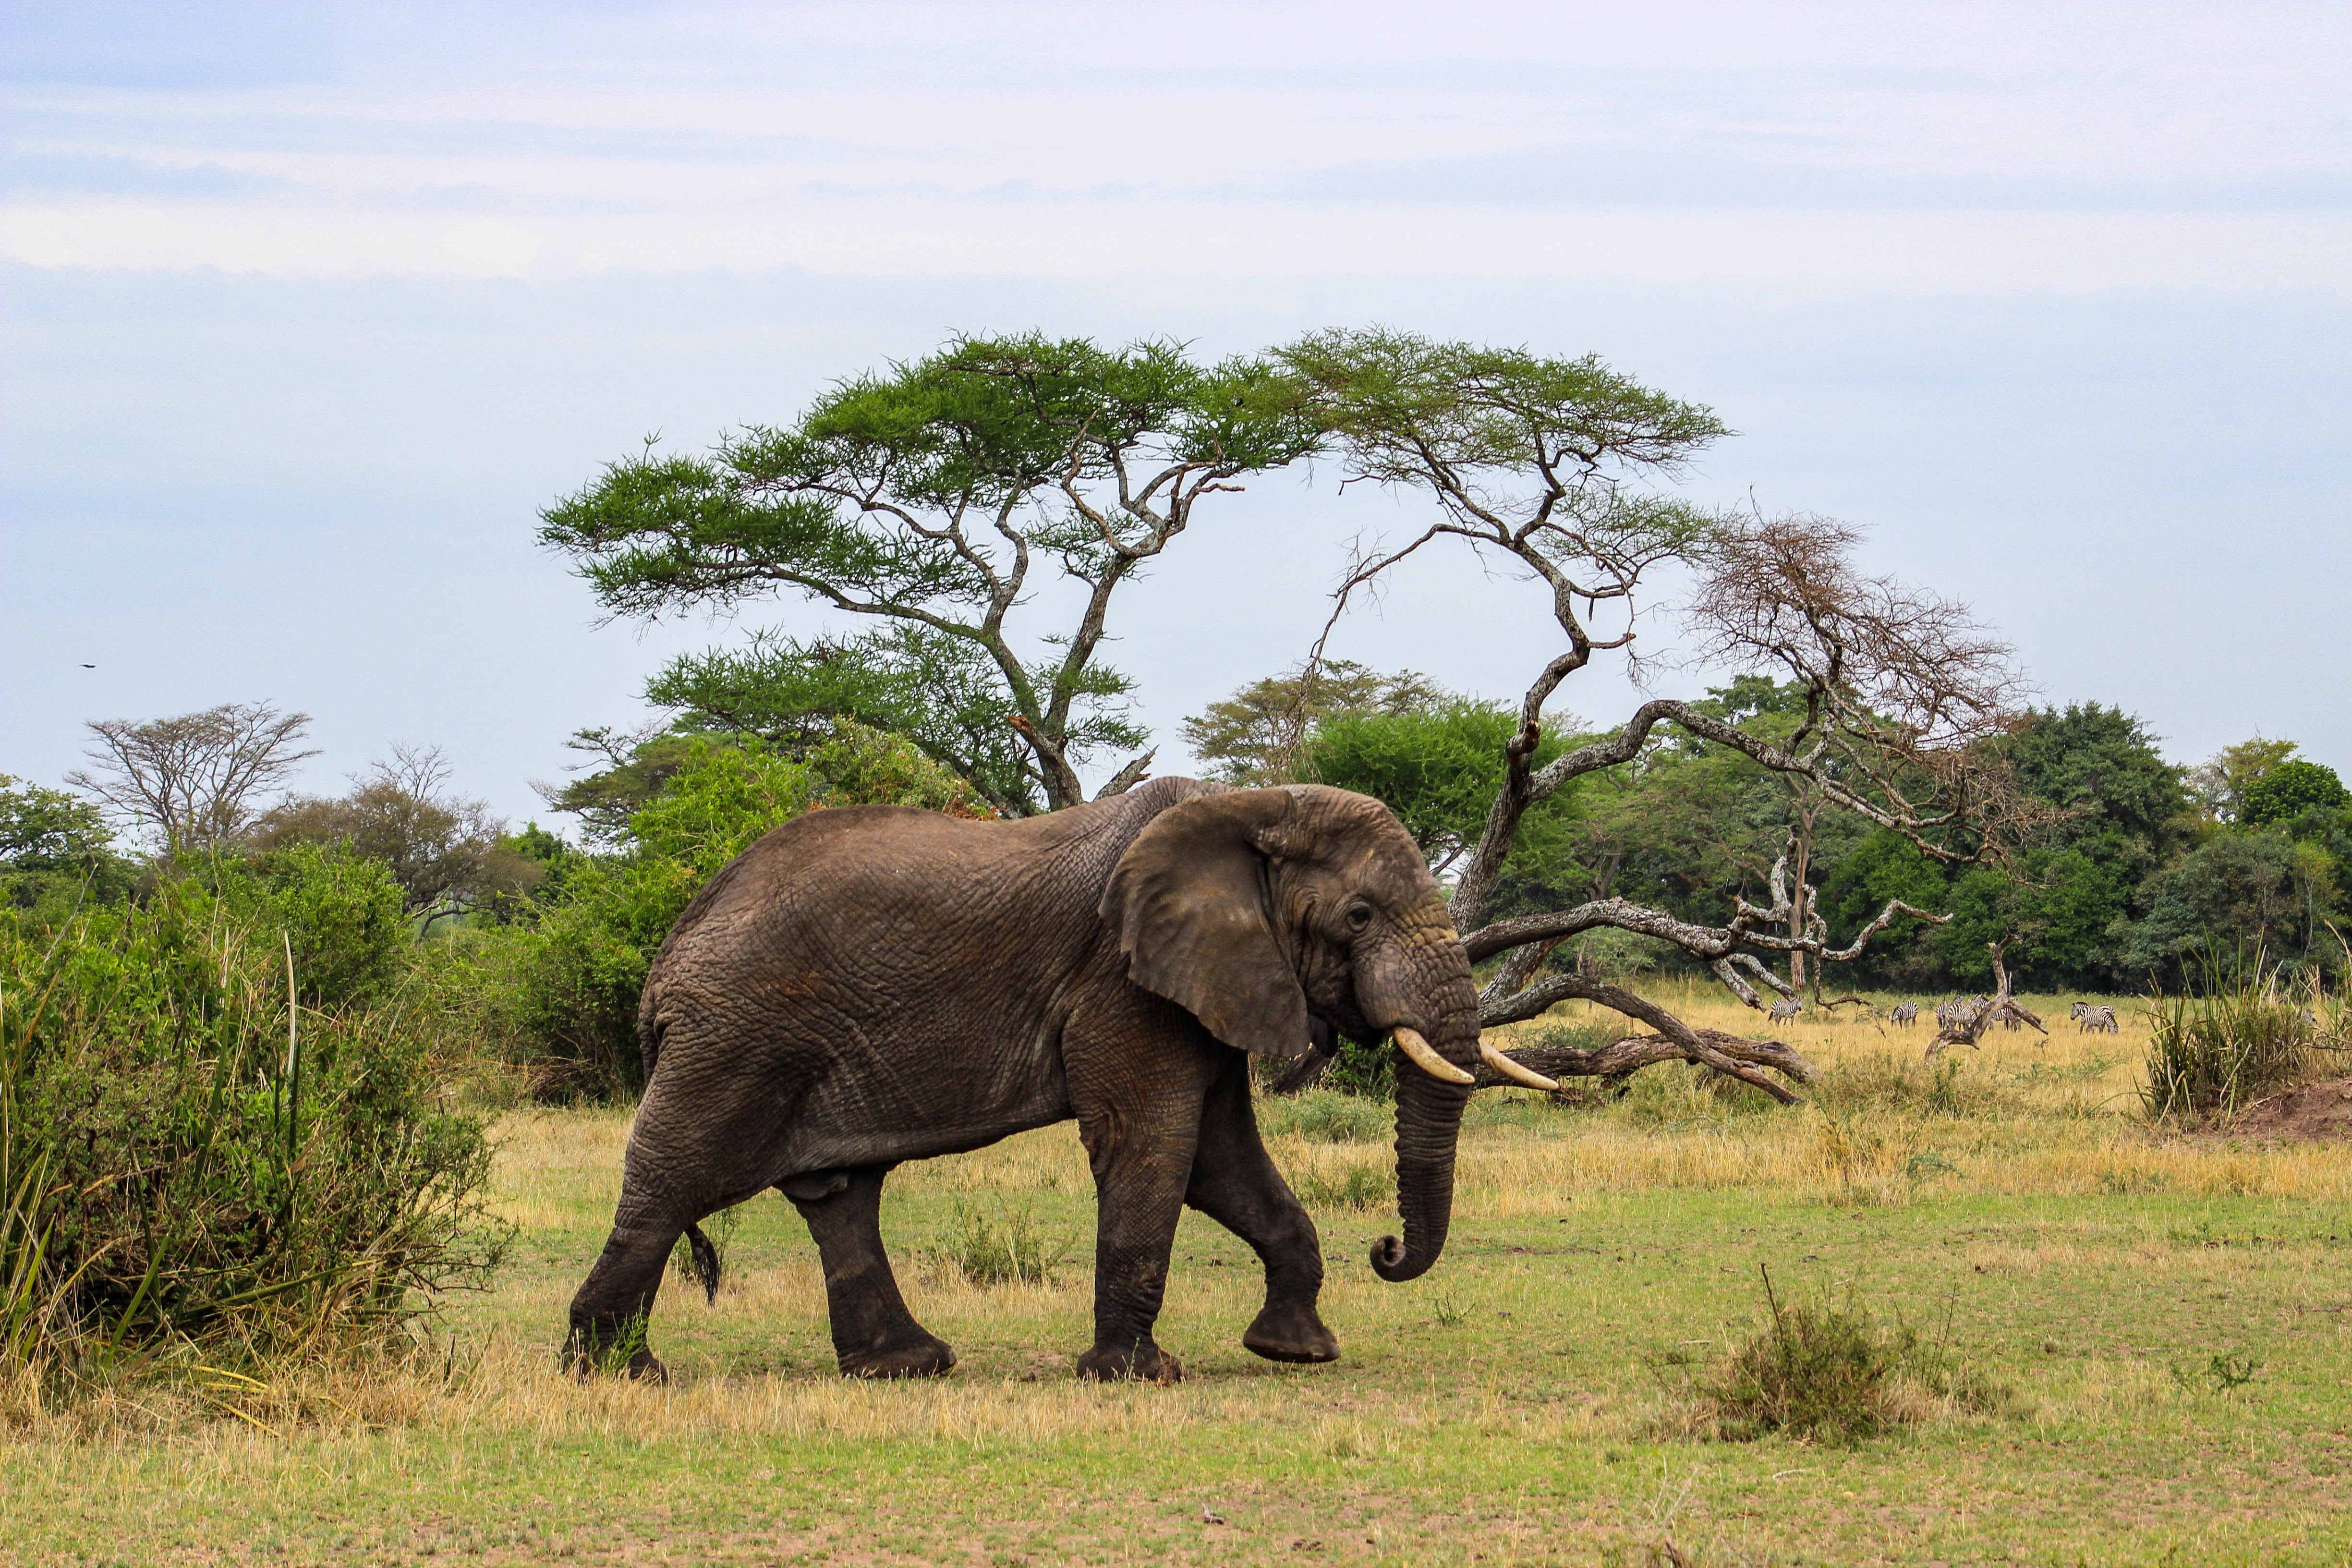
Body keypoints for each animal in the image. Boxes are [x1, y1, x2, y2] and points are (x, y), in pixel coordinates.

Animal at [555, 780, 1543, 1382]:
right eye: (1359, 916)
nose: (1385, 1248)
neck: (1250, 804)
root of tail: (668, 957)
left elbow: (1224, 1165)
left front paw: (1295, 1353)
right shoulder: (1121, 979)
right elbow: (1154, 1146)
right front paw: (1138, 1378)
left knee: (839, 1196)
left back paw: (909, 1367)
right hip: (734, 1039)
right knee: (670, 1185)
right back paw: (619, 1377)